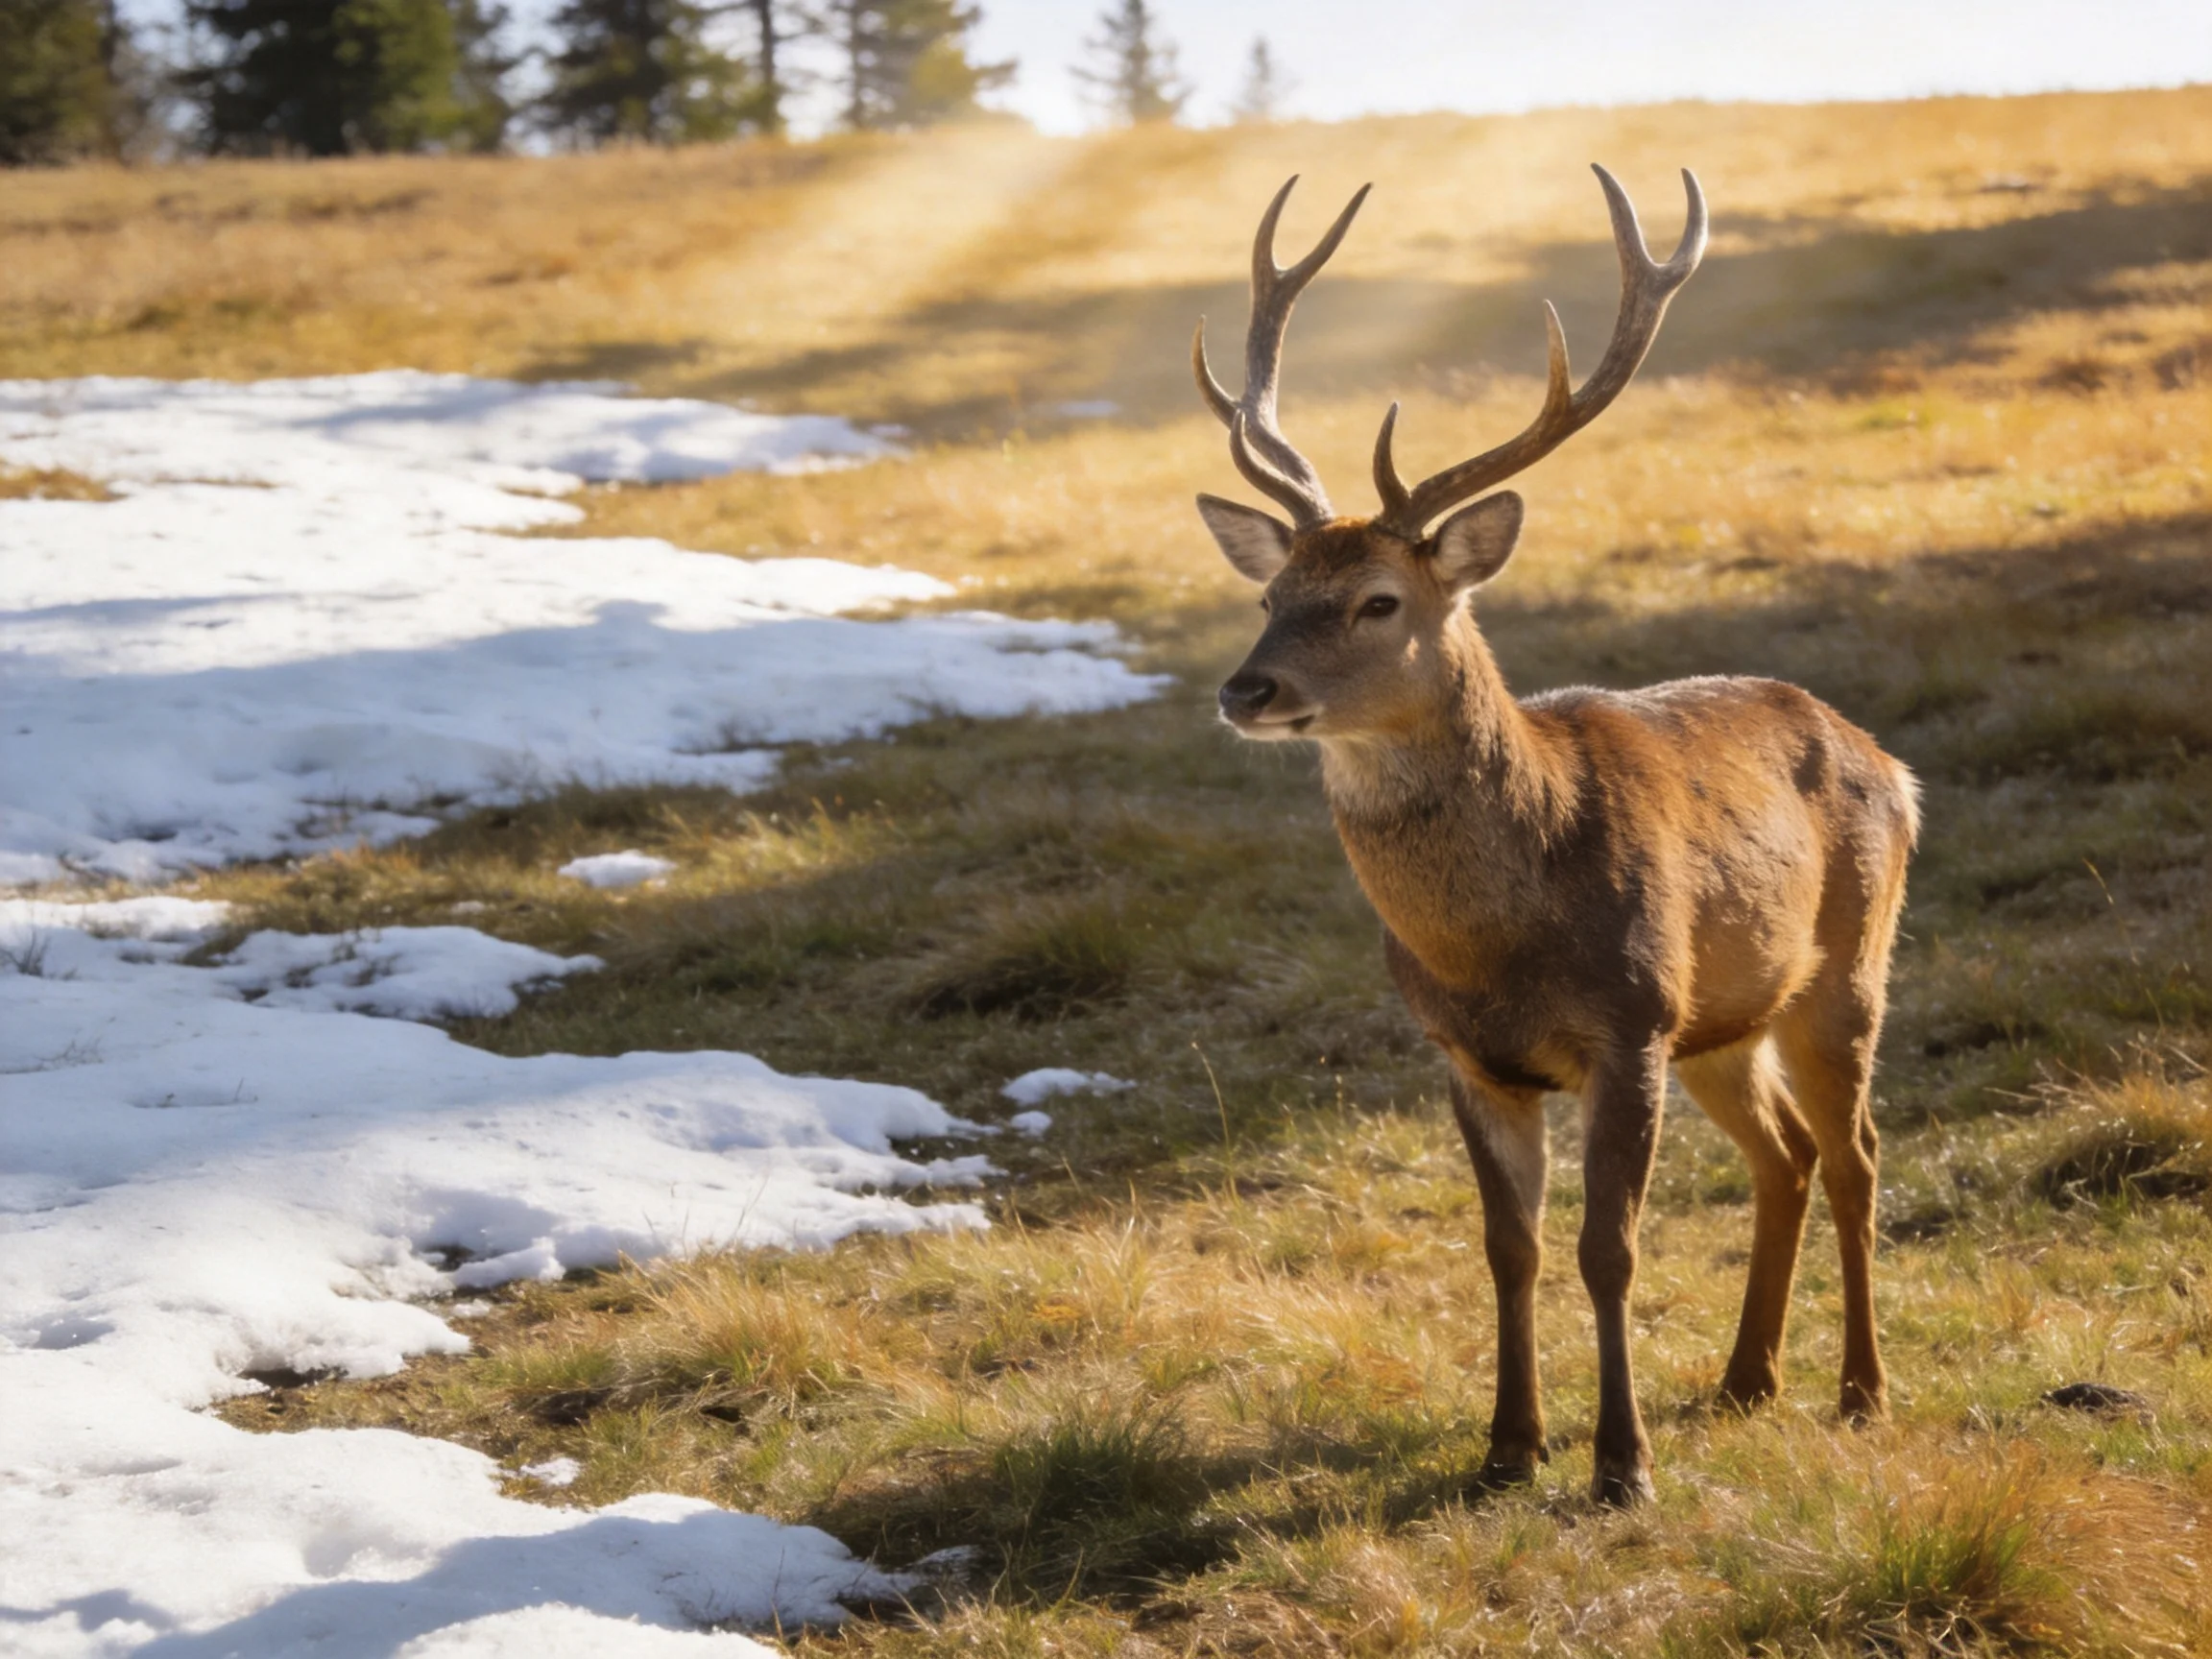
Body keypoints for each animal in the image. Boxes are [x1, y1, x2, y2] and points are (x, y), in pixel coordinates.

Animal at [1190, 167, 1918, 1506]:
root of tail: (1887, 759)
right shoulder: (1471, 1056)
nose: (1245, 689)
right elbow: (1508, 1248)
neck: (1499, 940)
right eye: (1270, 594)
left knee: (1855, 1155)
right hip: (1721, 1017)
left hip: (1846, 967)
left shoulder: (1627, 1025)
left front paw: (1620, 1465)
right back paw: (1747, 1380)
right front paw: (1509, 1447)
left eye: (1380, 601)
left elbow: (1607, 1249)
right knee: (1784, 1155)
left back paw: (1859, 1392)